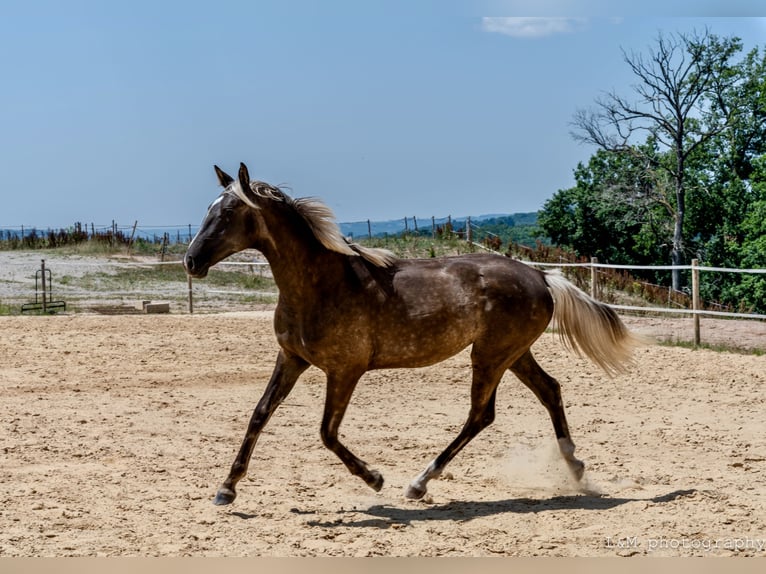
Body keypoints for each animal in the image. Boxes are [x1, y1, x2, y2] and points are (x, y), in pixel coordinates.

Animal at [184, 162, 640, 506]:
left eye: (228, 214)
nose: (191, 261)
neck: (321, 285)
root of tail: (541, 276)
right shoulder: (292, 359)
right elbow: (259, 414)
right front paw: (226, 489)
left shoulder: (345, 371)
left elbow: (326, 432)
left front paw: (374, 478)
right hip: (512, 353)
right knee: (549, 390)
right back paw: (575, 468)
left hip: (491, 355)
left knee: (481, 414)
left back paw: (418, 483)